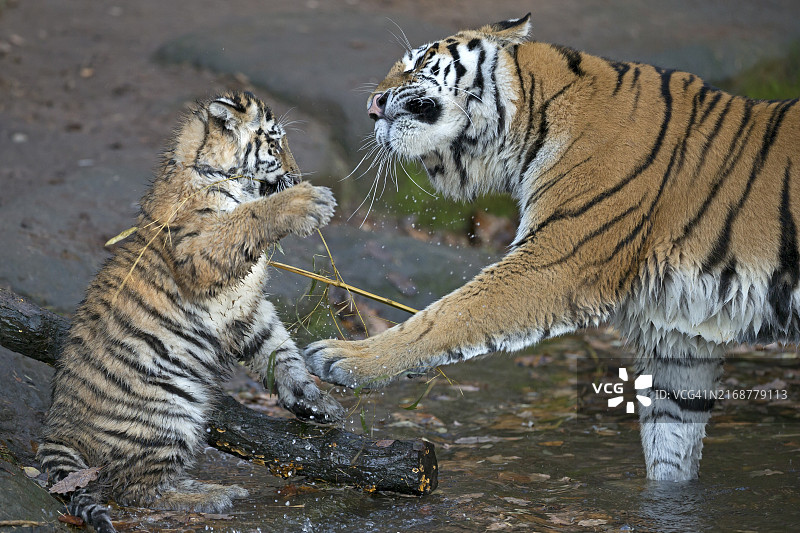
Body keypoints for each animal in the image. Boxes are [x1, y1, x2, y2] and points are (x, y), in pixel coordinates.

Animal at [37, 90, 343, 533]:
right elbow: (246, 219)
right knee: (135, 490)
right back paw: (213, 494)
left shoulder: (247, 307)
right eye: (274, 144)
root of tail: (58, 426)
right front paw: (307, 201)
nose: (299, 176)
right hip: (166, 414)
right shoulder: (201, 254)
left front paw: (313, 400)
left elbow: (279, 351)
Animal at [305, 14, 800, 482]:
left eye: (418, 62)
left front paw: (346, 359)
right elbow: (671, 448)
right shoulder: (679, 330)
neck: (528, 122)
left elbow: (450, 314)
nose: (371, 106)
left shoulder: (556, 261)